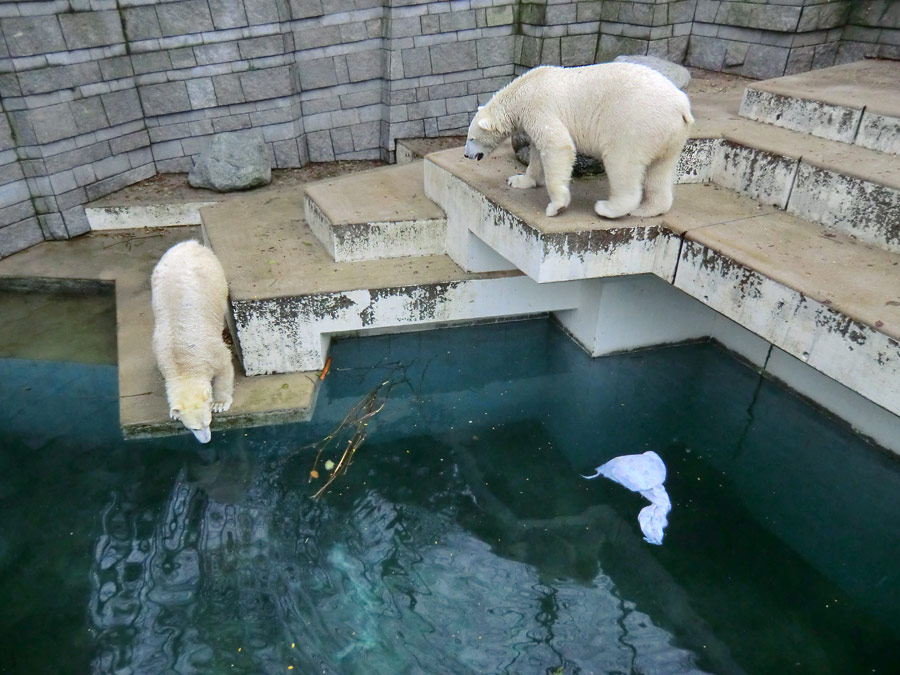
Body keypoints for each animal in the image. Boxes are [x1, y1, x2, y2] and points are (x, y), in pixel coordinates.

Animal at [149, 240, 232, 446]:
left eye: (208, 422)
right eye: (193, 428)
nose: (206, 441)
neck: (183, 360)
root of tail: (189, 244)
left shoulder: (211, 351)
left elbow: (225, 366)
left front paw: (219, 403)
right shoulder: (159, 354)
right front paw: (174, 413)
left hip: (213, 274)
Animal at [468, 62, 692, 218]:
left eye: (471, 138)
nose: (466, 154)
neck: (523, 89)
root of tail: (681, 107)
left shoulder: (539, 106)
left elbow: (558, 145)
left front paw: (556, 206)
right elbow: (538, 153)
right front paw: (518, 180)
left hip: (634, 125)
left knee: (622, 163)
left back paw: (608, 208)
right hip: (669, 135)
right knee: (660, 170)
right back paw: (647, 209)